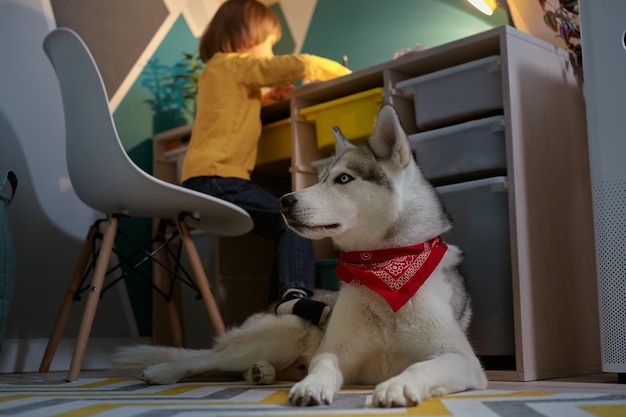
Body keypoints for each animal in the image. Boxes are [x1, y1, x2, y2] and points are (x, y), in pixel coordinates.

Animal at [113, 105, 488, 406]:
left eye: (343, 179)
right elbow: (323, 364)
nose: (284, 200)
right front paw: (313, 385)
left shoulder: (464, 361)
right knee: (207, 359)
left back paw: (260, 373)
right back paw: (165, 370)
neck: (383, 269)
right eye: (320, 178)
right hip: (278, 338)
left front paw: (399, 385)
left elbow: (422, 366)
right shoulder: (335, 351)